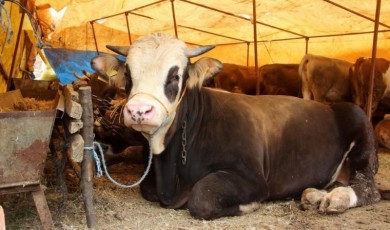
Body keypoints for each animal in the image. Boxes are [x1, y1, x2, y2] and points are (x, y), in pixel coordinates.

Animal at [108, 33, 382, 220]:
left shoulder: (252, 178)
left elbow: (202, 197)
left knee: (369, 189)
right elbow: (146, 189)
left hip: (360, 132)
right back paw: (314, 195)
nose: (139, 110)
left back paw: (336, 199)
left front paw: (250, 204)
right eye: (128, 75)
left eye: (176, 75)